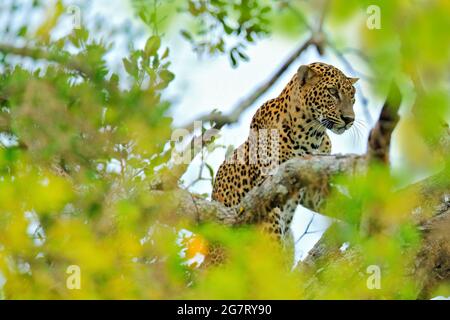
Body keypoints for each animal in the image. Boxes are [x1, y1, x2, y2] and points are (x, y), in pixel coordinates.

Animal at [208, 62, 358, 264]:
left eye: (353, 98)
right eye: (333, 92)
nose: (349, 119)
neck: (313, 134)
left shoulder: (312, 185)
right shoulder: (268, 187)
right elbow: (271, 236)